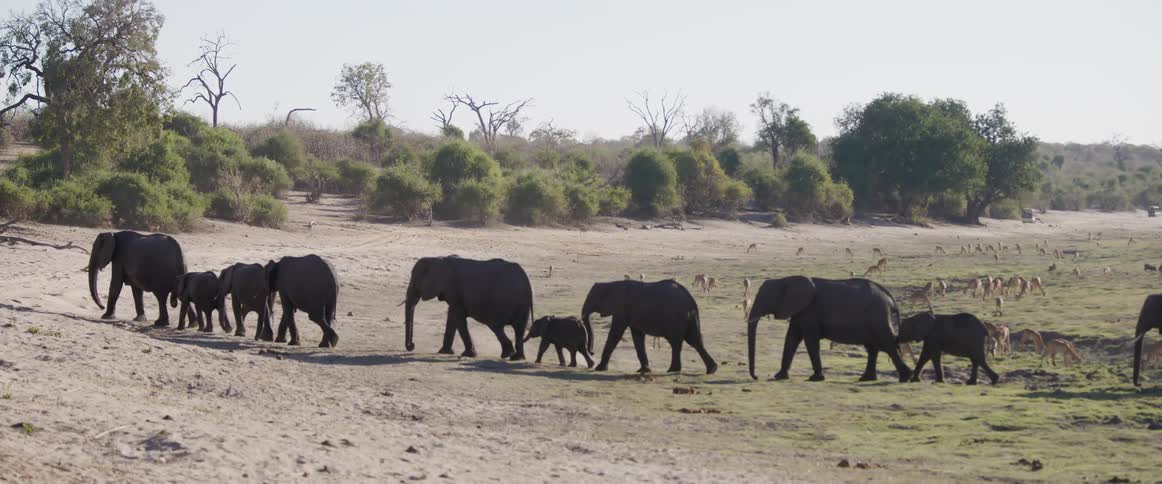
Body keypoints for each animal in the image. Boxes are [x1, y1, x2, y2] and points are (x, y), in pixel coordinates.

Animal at [403, 256, 534, 360]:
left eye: (417, 281)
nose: (412, 346)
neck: (438, 259)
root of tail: (527, 281)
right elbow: (453, 316)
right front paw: (444, 352)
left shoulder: (453, 289)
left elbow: (458, 317)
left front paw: (468, 354)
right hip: (522, 304)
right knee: (519, 329)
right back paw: (516, 357)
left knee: (495, 326)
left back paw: (508, 354)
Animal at [582, 279, 717, 375]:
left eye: (592, 298)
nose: (592, 352)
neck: (611, 284)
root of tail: (691, 301)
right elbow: (637, 336)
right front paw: (644, 370)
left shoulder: (621, 309)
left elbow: (616, 334)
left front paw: (599, 369)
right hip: (689, 318)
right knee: (695, 341)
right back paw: (711, 369)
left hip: (676, 318)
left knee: (676, 342)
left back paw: (672, 370)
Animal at [747, 276, 911, 382]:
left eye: (763, 298)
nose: (757, 377)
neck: (784, 280)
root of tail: (890, 297)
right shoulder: (800, 311)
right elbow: (791, 338)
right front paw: (779, 376)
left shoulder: (810, 311)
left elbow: (810, 340)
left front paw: (815, 378)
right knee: (873, 347)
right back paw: (866, 379)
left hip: (878, 317)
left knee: (888, 344)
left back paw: (905, 377)